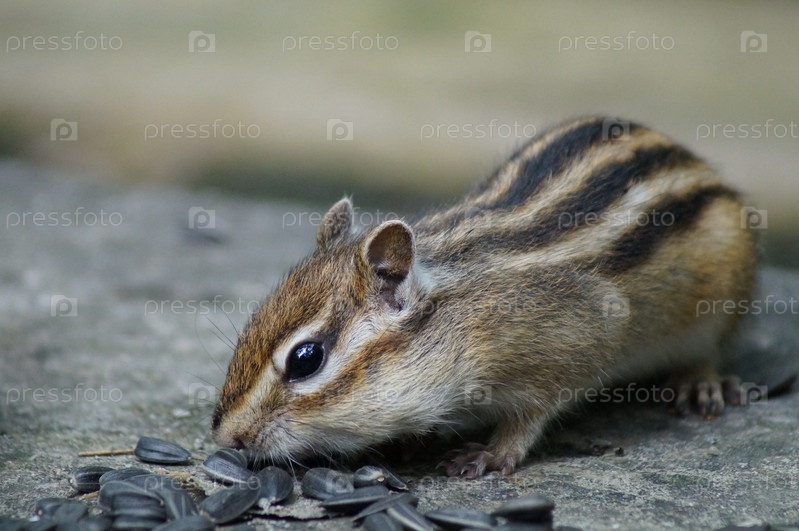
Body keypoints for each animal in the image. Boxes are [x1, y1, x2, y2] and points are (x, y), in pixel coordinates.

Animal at [211, 116, 757, 478]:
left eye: (306, 359)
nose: (226, 437)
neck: (460, 311)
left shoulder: (572, 344)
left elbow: (534, 413)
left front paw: (491, 453)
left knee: (708, 351)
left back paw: (700, 383)